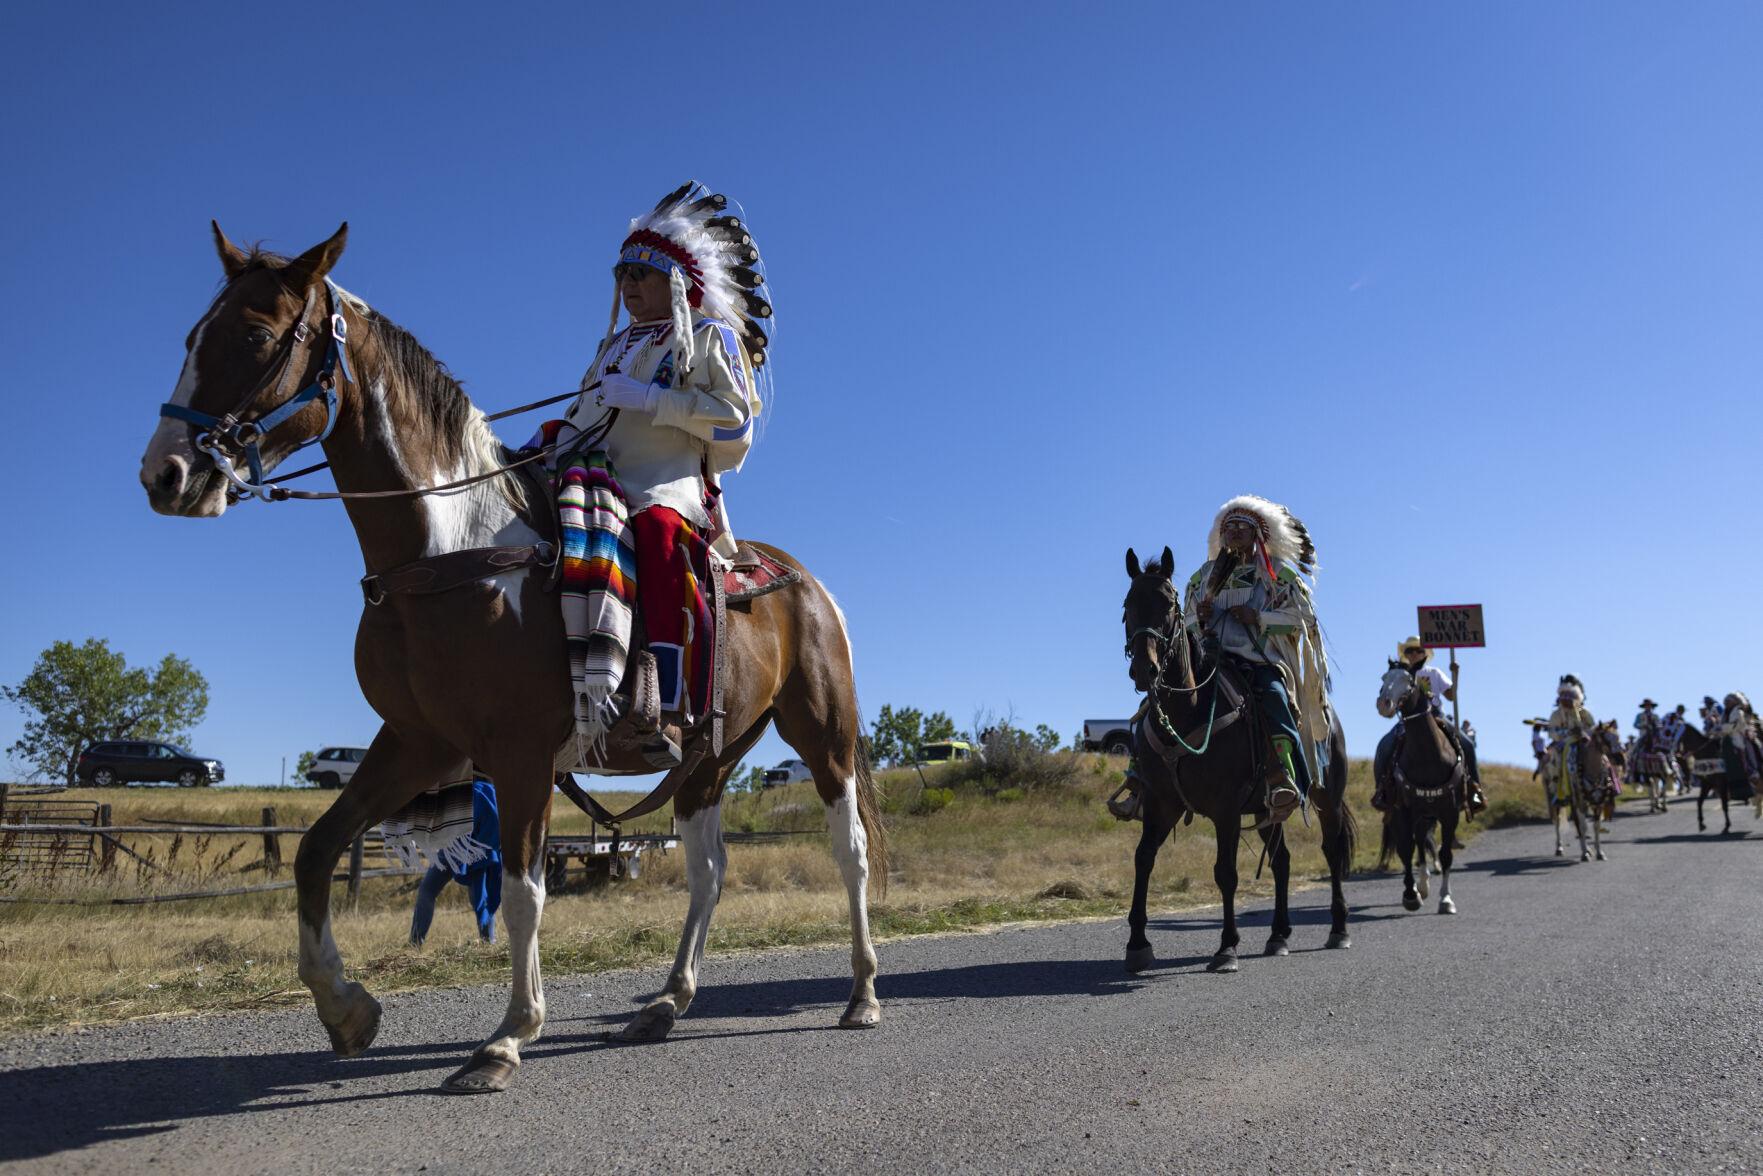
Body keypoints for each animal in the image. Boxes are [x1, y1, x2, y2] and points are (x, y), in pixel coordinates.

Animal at [139, 223, 888, 1093]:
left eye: (256, 336)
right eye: (191, 338)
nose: (165, 473)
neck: (448, 552)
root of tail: (803, 579)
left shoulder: (521, 751)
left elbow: (525, 890)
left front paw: (505, 1038)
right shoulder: (416, 741)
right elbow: (317, 850)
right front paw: (346, 1007)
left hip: (821, 734)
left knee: (849, 853)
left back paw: (861, 992)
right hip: (707, 756)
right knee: (708, 870)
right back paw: (665, 1002)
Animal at [1121, 553, 1353, 973]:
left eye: (1169, 606)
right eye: (1128, 606)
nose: (1145, 670)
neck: (1187, 712)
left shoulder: (1226, 809)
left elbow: (1225, 873)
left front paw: (1227, 947)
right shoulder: (1161, 804)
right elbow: (1143, 859)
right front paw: (1137, 944)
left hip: (1327, 799)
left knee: (1331, 851)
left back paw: (1338, 929)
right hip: (1267, 806)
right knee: (1281, 861)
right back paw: (1278, 935)